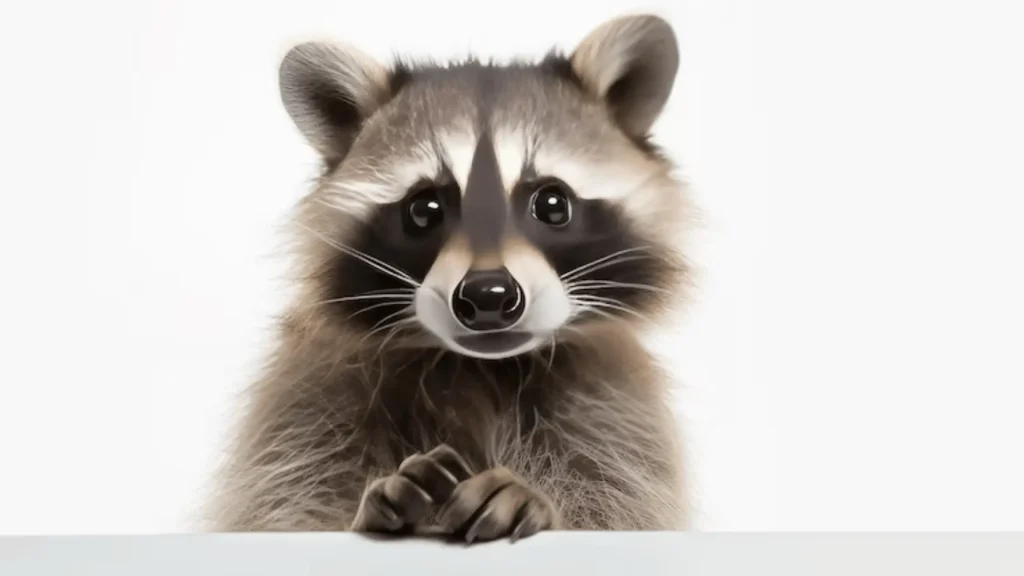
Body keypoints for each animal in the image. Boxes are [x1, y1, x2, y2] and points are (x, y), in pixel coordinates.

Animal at [208, 14, 692, 541]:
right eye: (424, 209)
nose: (489, 295)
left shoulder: (614, 412)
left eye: (551, 203)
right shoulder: (312, 399)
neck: (484, 367)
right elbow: (285, 509)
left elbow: (621, 504)